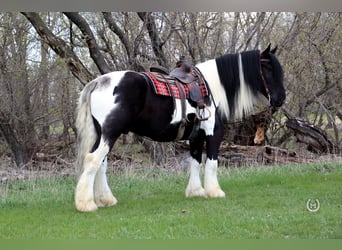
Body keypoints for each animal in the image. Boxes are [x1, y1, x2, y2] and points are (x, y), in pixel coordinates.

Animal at [75, 44, 286, 211]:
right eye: (268, 67)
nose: (281, 98)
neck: (211, 87)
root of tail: (99, 82)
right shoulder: (213, 133)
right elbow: (212, 162)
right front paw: (215, 192)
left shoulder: (196, 137)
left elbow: (195, 162)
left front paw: (196, 191)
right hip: (110, 133)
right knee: (93, 160)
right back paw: (86, 204)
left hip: (103, 134)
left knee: (101, 164)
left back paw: (106, 199)